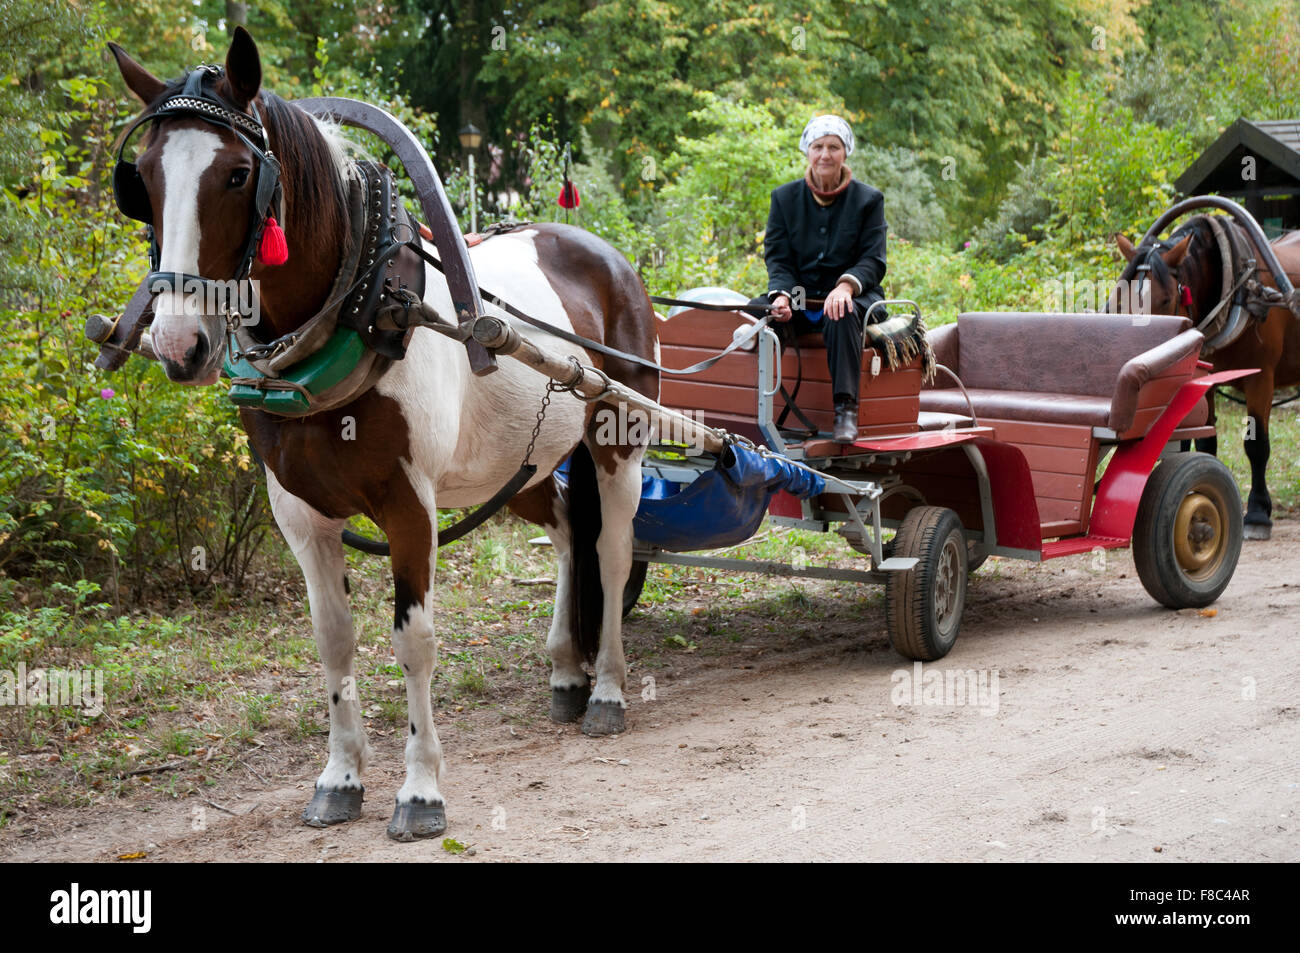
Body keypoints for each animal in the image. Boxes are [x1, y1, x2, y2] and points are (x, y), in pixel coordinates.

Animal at [107, 27, 658, 840]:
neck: (359, 306)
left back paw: (609, 692)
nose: (178, 345)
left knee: (612, 553)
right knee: (565, 530)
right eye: (141, 179)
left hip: (619, 436)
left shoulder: (408, 505)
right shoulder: (300, 513)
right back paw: (566, 667)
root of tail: (606, 253)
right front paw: (340, 777)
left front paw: (421, 789)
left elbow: (414, 640)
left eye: (238, 175)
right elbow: (334, 641)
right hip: (521, 460)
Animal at [1112, 217, 1300, 540]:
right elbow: (1205, 441)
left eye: (1166, 299)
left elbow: (1257, 445)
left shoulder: (1261, 379)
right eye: (1122, 299)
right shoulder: (1205, 379)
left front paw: (1258, 513)